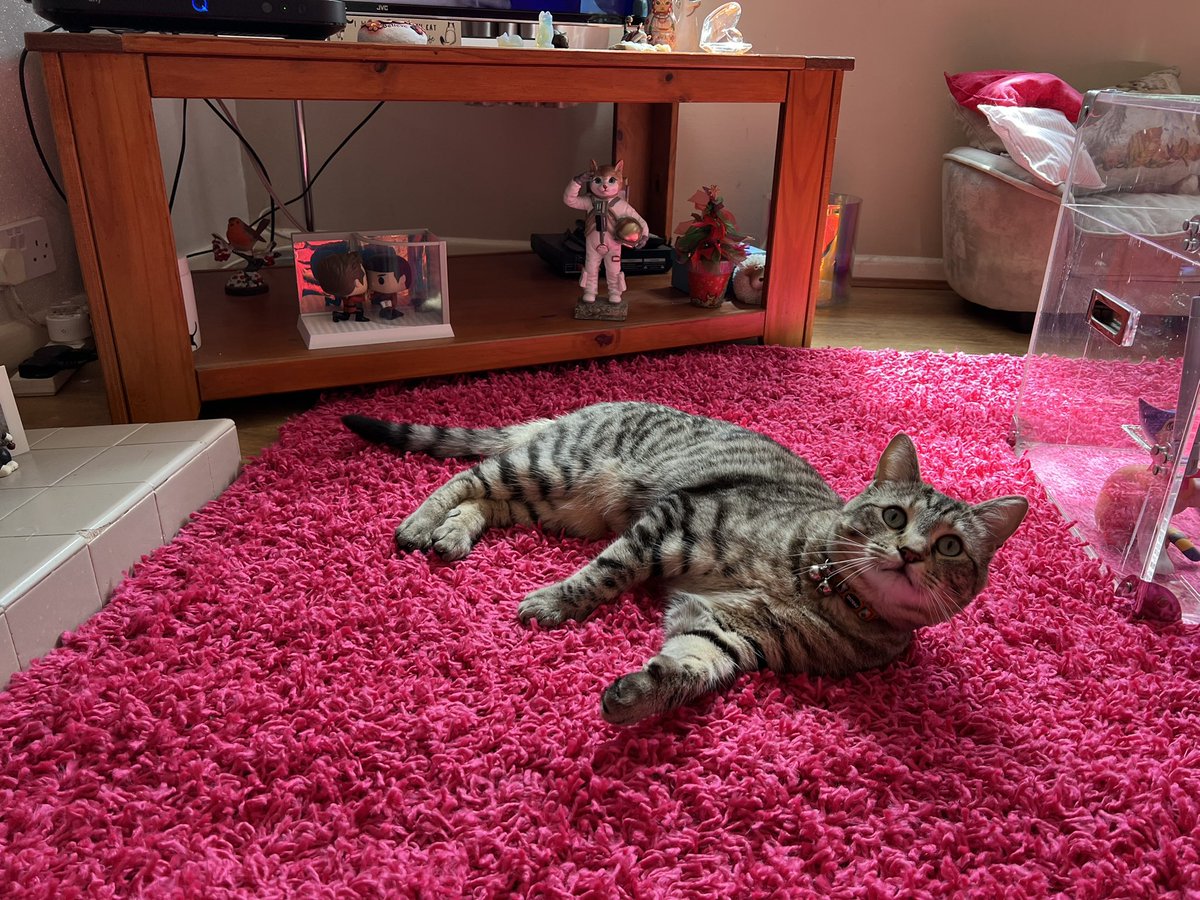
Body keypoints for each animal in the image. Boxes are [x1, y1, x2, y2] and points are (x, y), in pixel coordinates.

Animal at [343, 405, 1027, 729]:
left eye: (950, 548)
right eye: (892, 516)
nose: (910, 552)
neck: (823, 592)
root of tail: (574, 412)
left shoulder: (733, 633)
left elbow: (690, 668)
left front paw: (637, 695)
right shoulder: (672, 522)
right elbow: (606, 573)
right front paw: (556, 603)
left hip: (554, 503)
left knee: (484, 501)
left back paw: (453, 535)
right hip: (556, 470)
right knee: (466, 477)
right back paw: (420, 524)